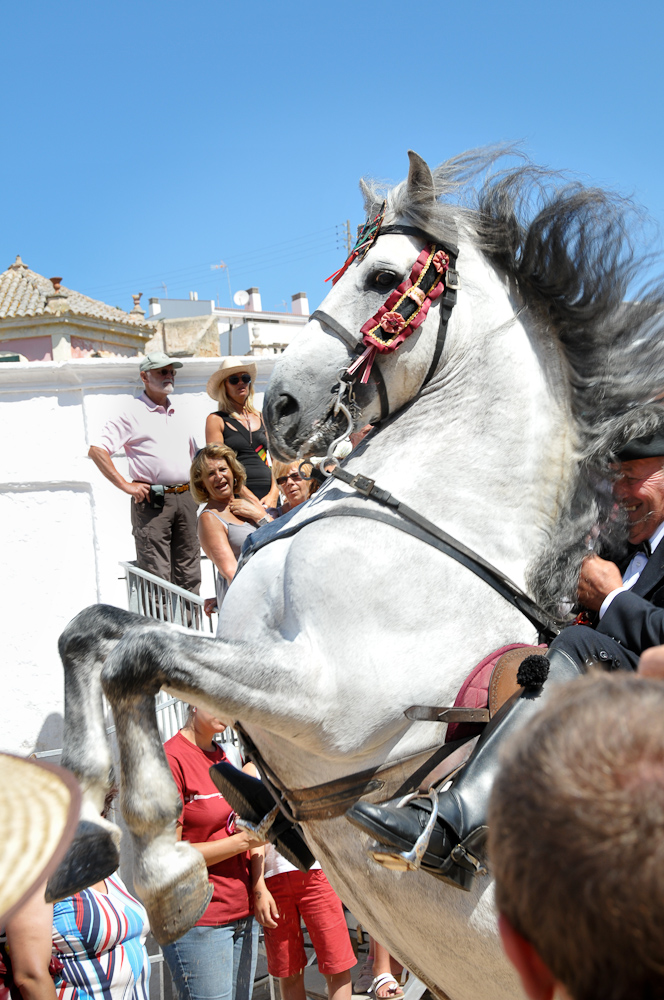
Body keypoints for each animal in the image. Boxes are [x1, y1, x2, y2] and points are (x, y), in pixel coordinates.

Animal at [46, 148, 664, 1000]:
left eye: (383, 277)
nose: (279, 405)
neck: (439, 515)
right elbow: (94, 633)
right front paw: (92, 830)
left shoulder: (334, 702)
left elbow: (139, 655)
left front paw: (158, 861)